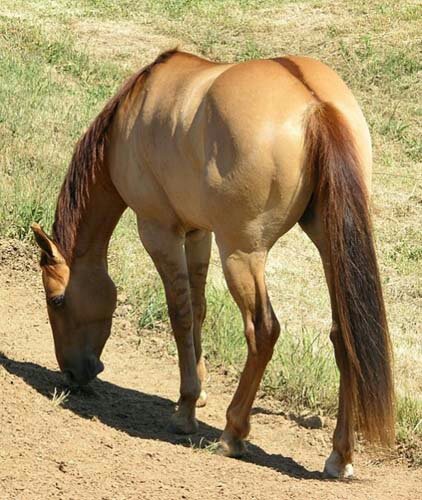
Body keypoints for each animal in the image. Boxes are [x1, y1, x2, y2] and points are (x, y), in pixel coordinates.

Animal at [31, 48, 394, 478]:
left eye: (56, 300)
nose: (72, 373)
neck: (133, 111)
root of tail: (314, 104)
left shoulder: (159, 232)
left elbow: (181, 314)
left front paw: (186, 407)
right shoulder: (197, 233)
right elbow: (200, 309)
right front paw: (198, 391)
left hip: (241, 253)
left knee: (263, 331)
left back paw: (233, 433)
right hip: (329, 246)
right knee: (344, 338)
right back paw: (340, 456)